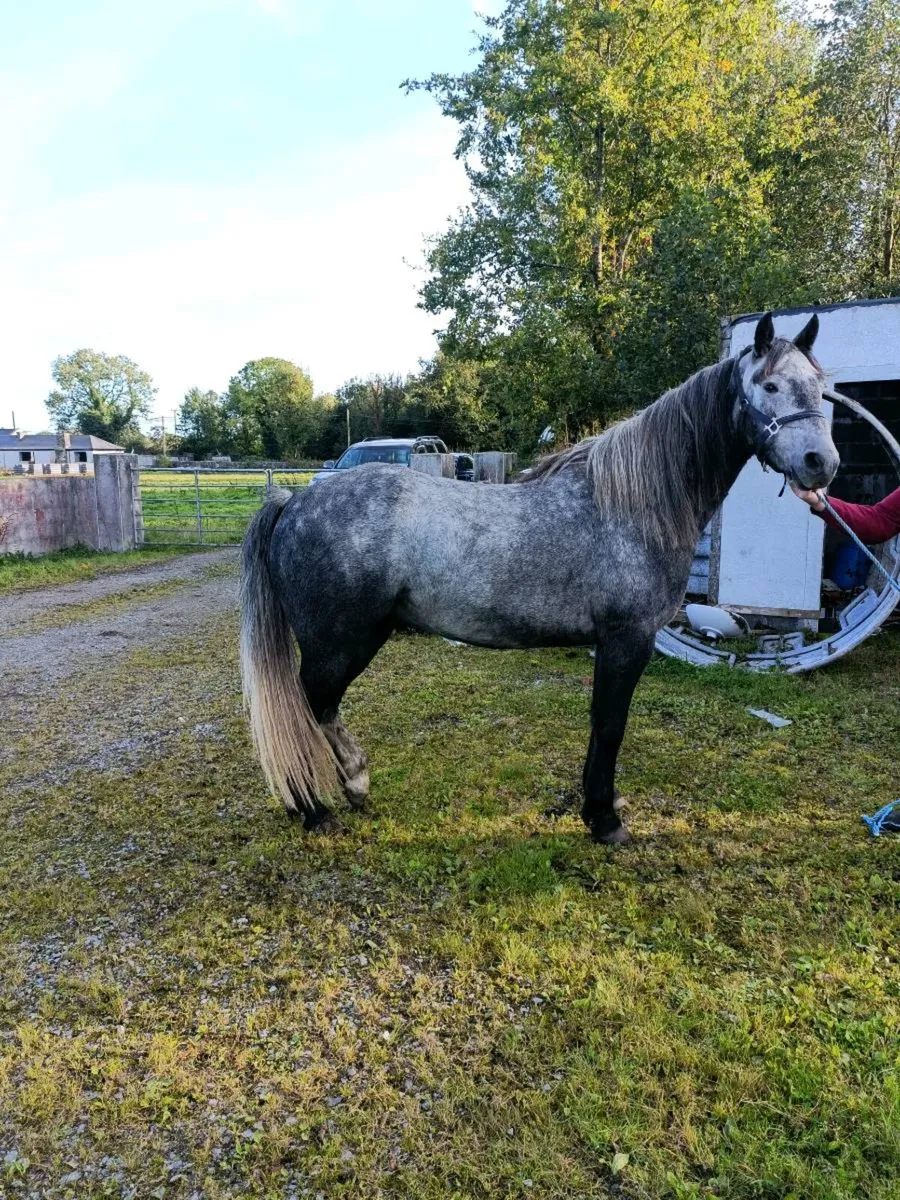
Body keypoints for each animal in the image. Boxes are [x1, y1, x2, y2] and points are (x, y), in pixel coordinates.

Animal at [240, 312, 838, 844]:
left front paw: (597, 809)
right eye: (769, 384)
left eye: (821, 388)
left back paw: (348, 786)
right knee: (306, 706)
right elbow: (611, 724)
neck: (629, 506)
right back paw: (317, 807)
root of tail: (295, 501)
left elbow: (600, 724)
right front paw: (605, 821)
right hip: (341, 642)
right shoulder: (627, 640)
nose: (822, 464)